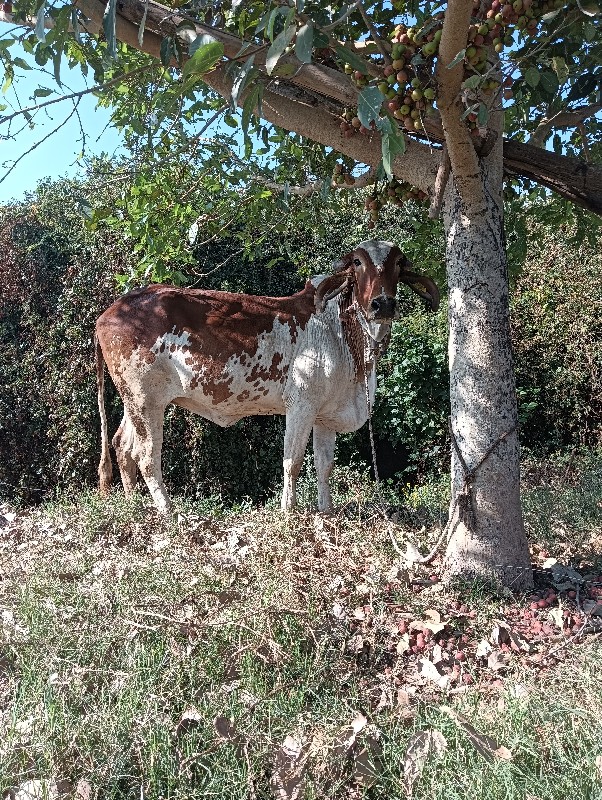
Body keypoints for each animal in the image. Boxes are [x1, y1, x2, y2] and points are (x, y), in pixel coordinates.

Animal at [96, 239, 438, 512]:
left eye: (398, 263)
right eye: (357, 262)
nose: (383, 304)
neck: (345, 334)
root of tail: (110, 312)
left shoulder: (325, 415)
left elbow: (324, 466)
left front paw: (326, 511)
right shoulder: (300, 405)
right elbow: (293, 462)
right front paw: (289, 510)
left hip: (136, 402)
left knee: (123, 446)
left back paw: (132, 505)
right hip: (146, 401)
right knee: (146, 457)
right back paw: (169, 512)